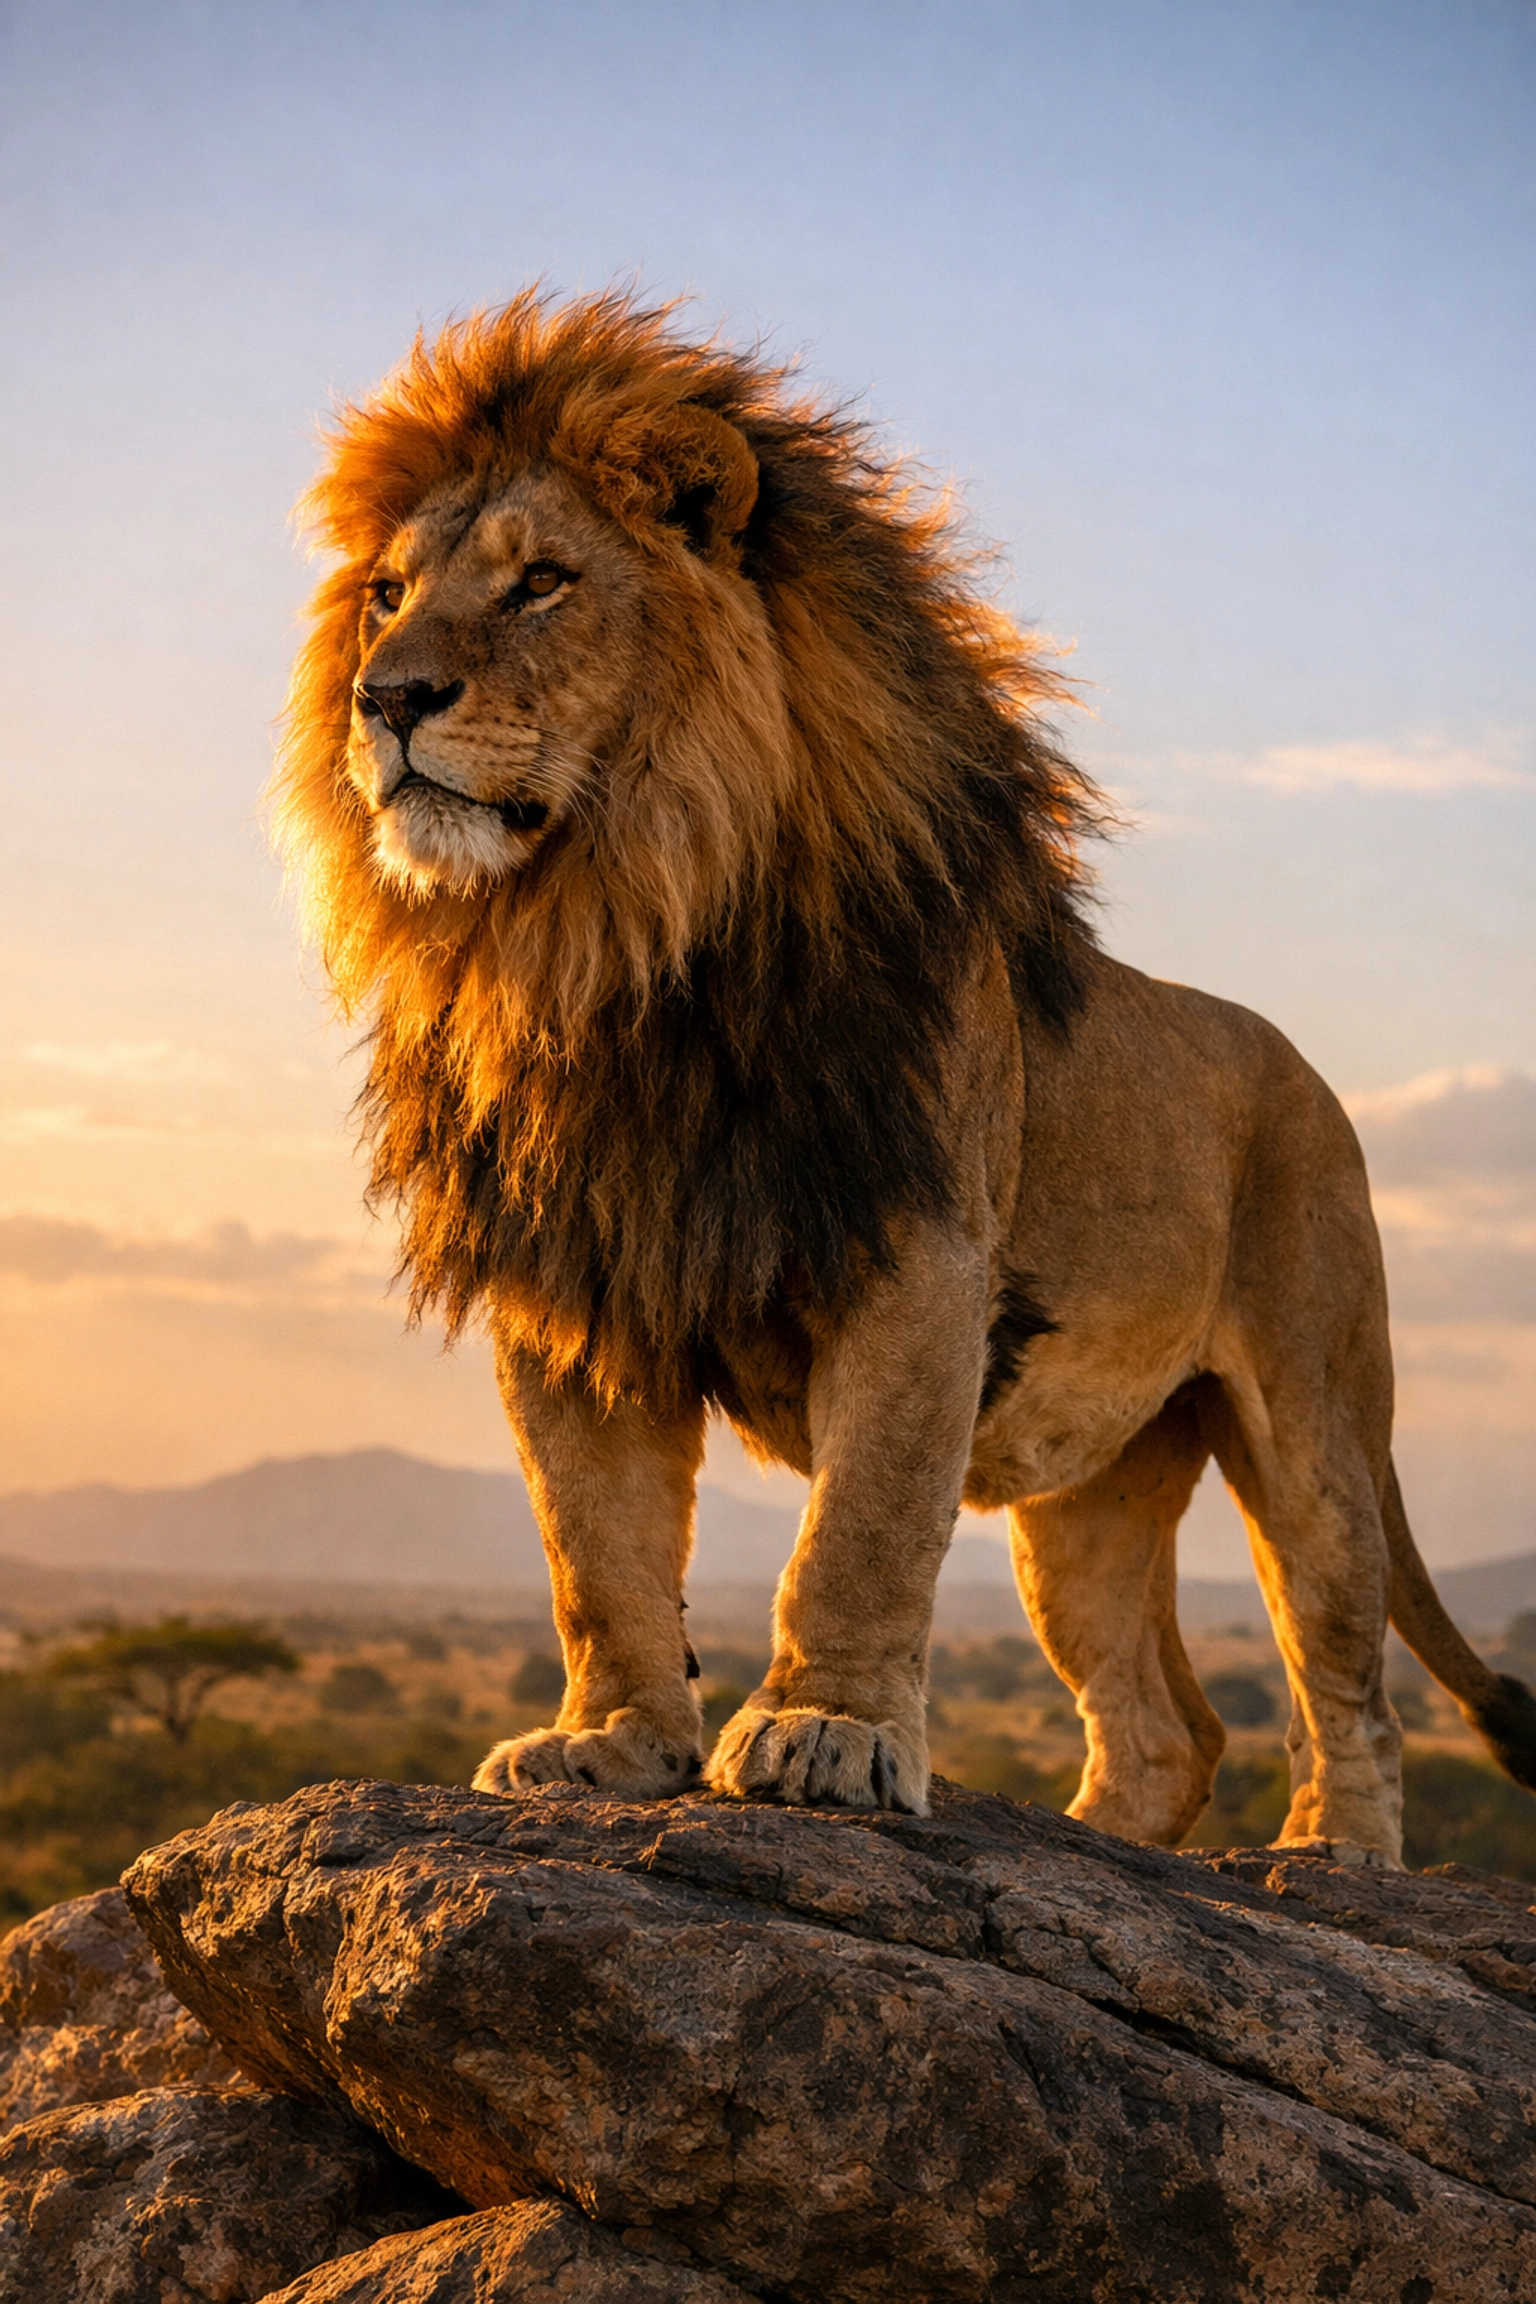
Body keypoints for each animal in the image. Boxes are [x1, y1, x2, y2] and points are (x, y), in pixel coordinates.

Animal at [274, 288, 1536, 1864]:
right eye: (387, 595)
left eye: (543, 583)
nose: (383, 698)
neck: (611, 939)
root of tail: (1312, 1074)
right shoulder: (574, 1288)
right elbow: (596, 1545)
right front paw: (610, 1744)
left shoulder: (919, 1255)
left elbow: (860, 1528)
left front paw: (829, 1734)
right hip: (1094, 1486)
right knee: (1168, 1726)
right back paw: (1104, 1834)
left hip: (1315, 1417)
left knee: (1344, 1668)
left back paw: (1333, 1855)